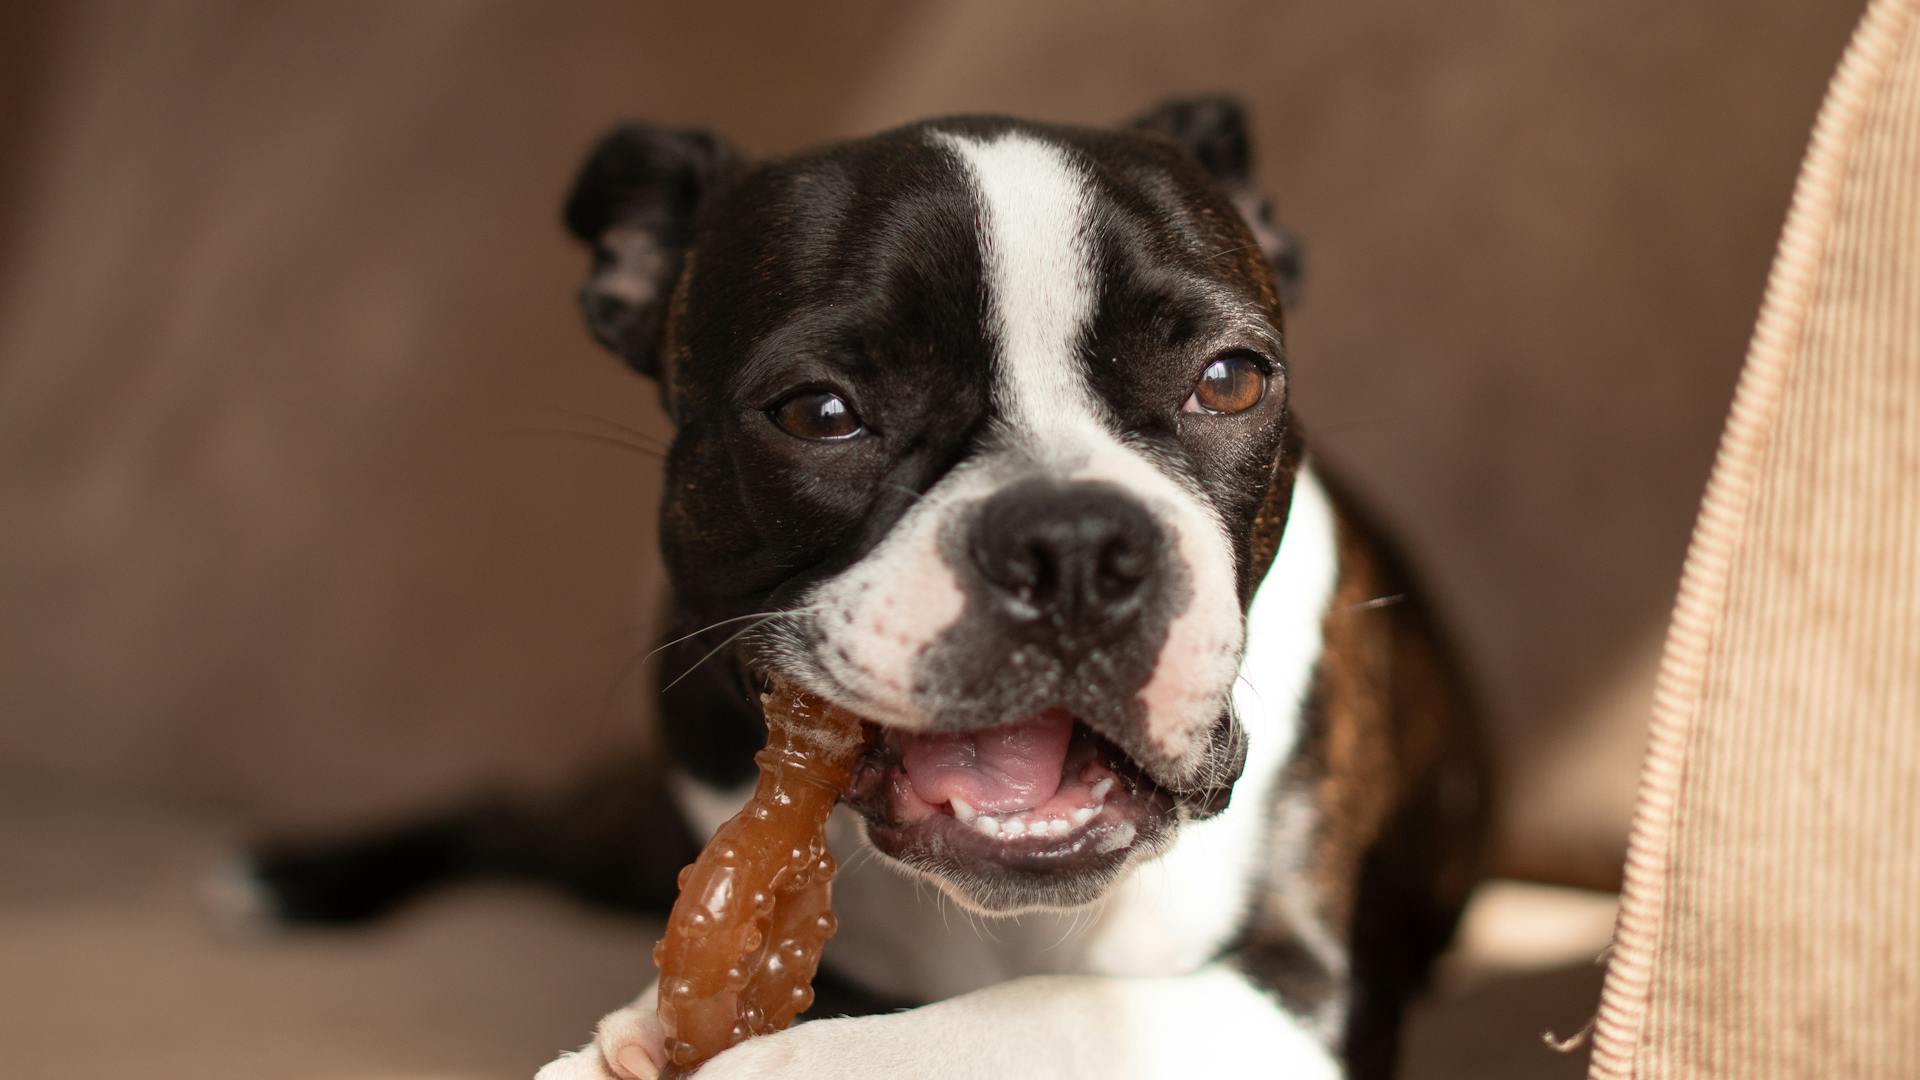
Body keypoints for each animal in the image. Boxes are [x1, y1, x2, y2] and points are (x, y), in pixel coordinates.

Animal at [247, 96, 1489, 1068]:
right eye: (819, 411)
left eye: (1231, 381)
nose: (1074, 543)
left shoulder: (1300, 995)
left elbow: (1038, 1016)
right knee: (505, 814)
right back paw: (291, 878)